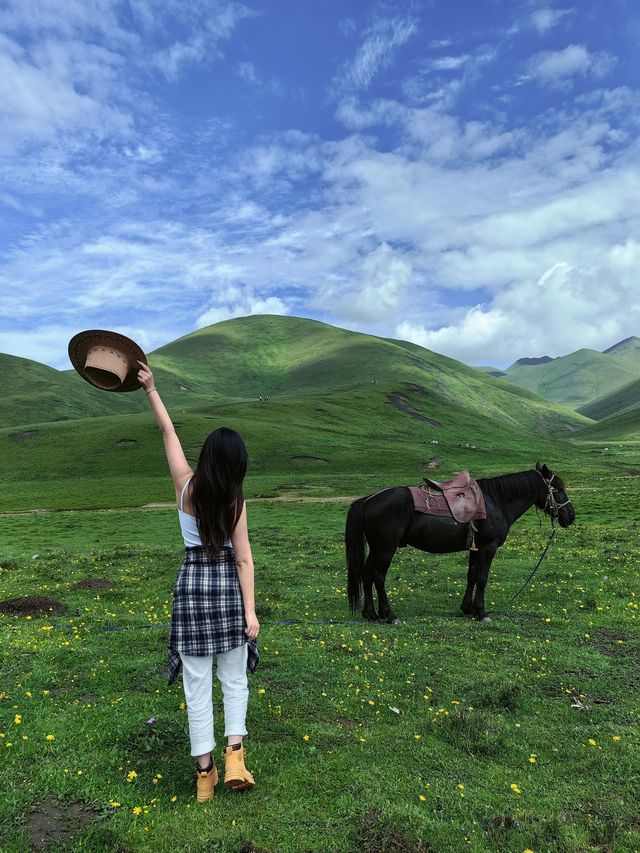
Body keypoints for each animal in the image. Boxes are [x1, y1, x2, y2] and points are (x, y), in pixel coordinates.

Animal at [344, 462, 576, 624]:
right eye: (557, 489)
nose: (570, 516)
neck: (496, 501)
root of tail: (367, 500)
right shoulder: (488, 547)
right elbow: (482, 578)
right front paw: (481, 612)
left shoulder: (475, 548)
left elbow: (471, 576)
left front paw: (467, 608)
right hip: (385, 548)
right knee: (378, 576)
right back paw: (389, 615)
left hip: (376, 549)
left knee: (366, 573)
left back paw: (370, 614)